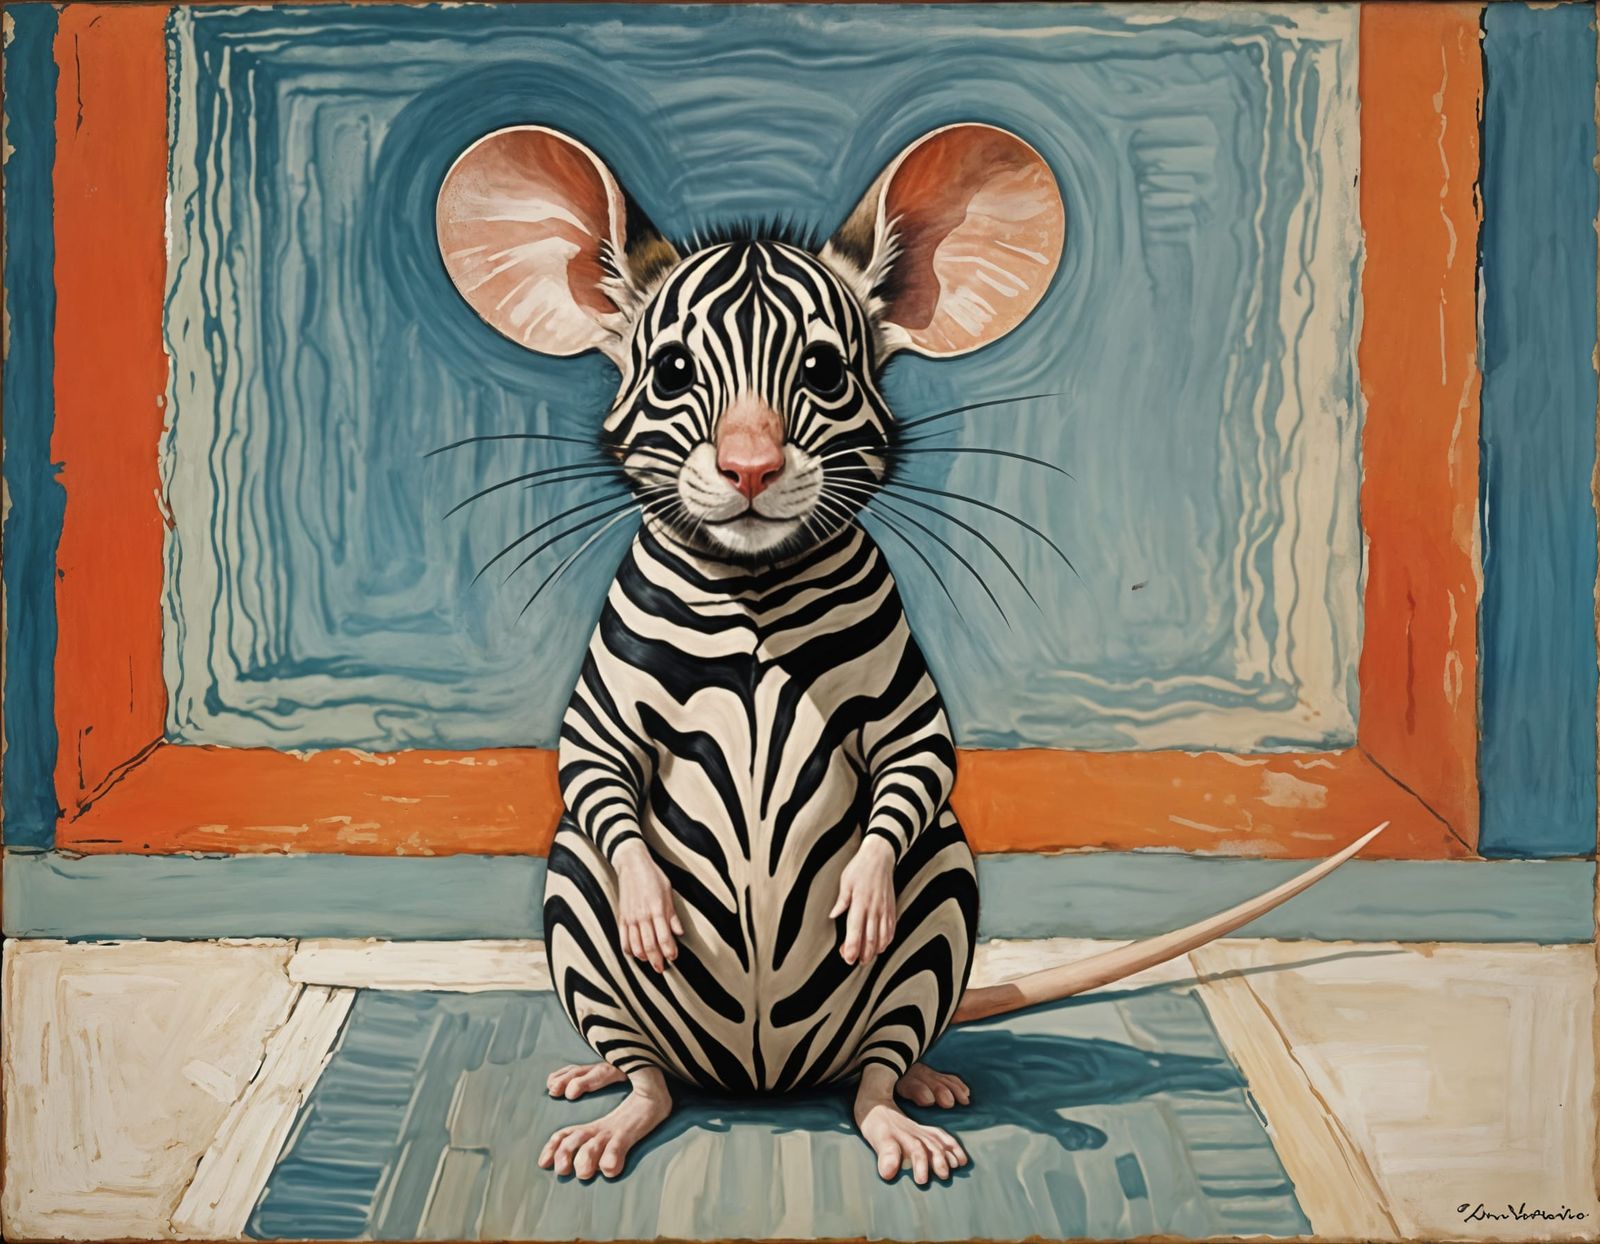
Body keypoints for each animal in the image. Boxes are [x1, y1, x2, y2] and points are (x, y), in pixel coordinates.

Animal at [436, 121, 1384, 1184]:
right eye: (672, 371)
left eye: (824, 373)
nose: (751, 469)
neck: (755, 591)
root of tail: (761, 1084)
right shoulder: (605, 715)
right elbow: (595, 782)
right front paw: (652, 909)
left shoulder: (907, 715)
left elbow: (919, 774)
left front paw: (862, 901)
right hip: (574, 906)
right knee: (648, 1071)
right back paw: (607, 1105)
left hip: (946, 899)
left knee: (880, 1066)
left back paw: (912, 1106)